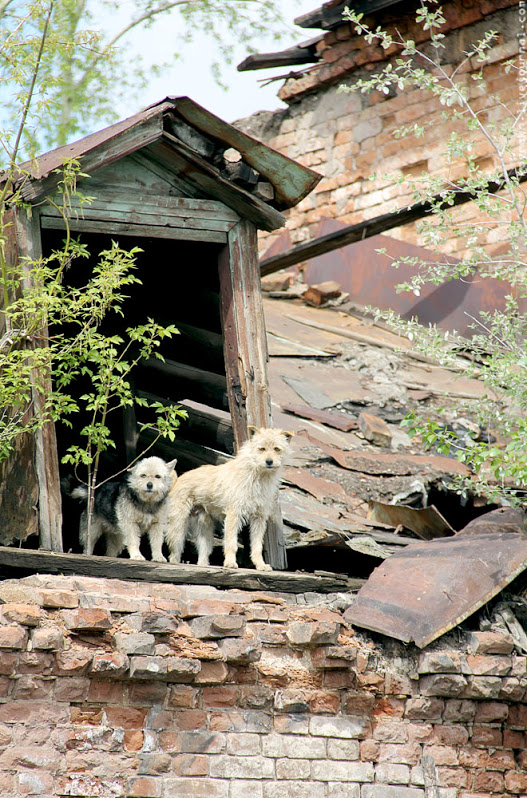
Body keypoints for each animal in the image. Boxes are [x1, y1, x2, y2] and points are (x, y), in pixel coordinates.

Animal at [166, 428, 292, 572]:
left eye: (277, 449)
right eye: (262, 449)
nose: (269, 461)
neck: (257, 476)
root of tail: (177, 481)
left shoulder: (258, 518)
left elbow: (257, 546)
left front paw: (260, 564)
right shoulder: (233, 515)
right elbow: (231, 543)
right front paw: (230, 563)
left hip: (204, 530)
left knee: (203, 554)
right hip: (178, 527)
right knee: (174, 552)